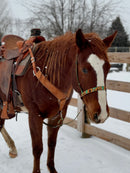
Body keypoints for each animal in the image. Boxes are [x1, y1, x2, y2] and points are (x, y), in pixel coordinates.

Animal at [0, 29, 116, 172]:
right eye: (84, 69)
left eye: (108, 67)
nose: (101, 114)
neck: (46, 72)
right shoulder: (34, 116)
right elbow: (37, 149)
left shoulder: (57, 116)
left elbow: (51, 144)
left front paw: (51, 168)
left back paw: (12, 148)